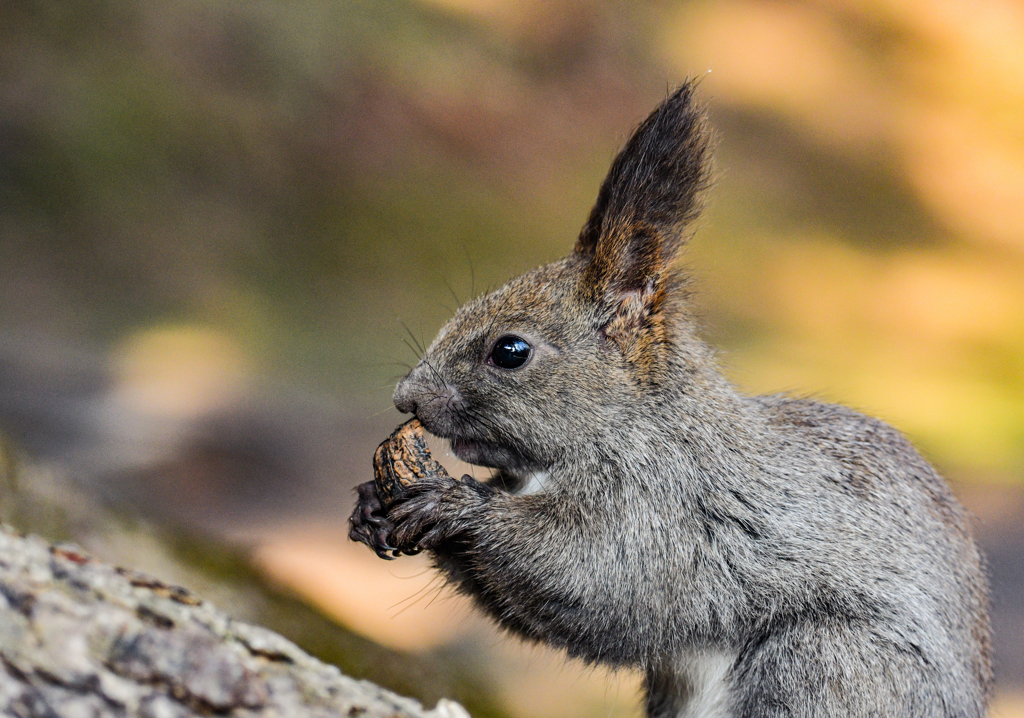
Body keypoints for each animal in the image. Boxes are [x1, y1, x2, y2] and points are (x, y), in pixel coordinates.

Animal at [348, 81, 987, 716]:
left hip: (826, 663)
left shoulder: (667, 515)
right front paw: (373, 504)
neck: (636, 424)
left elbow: (588, 575)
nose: (407, 398)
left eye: (511, 350)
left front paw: (454, 504)